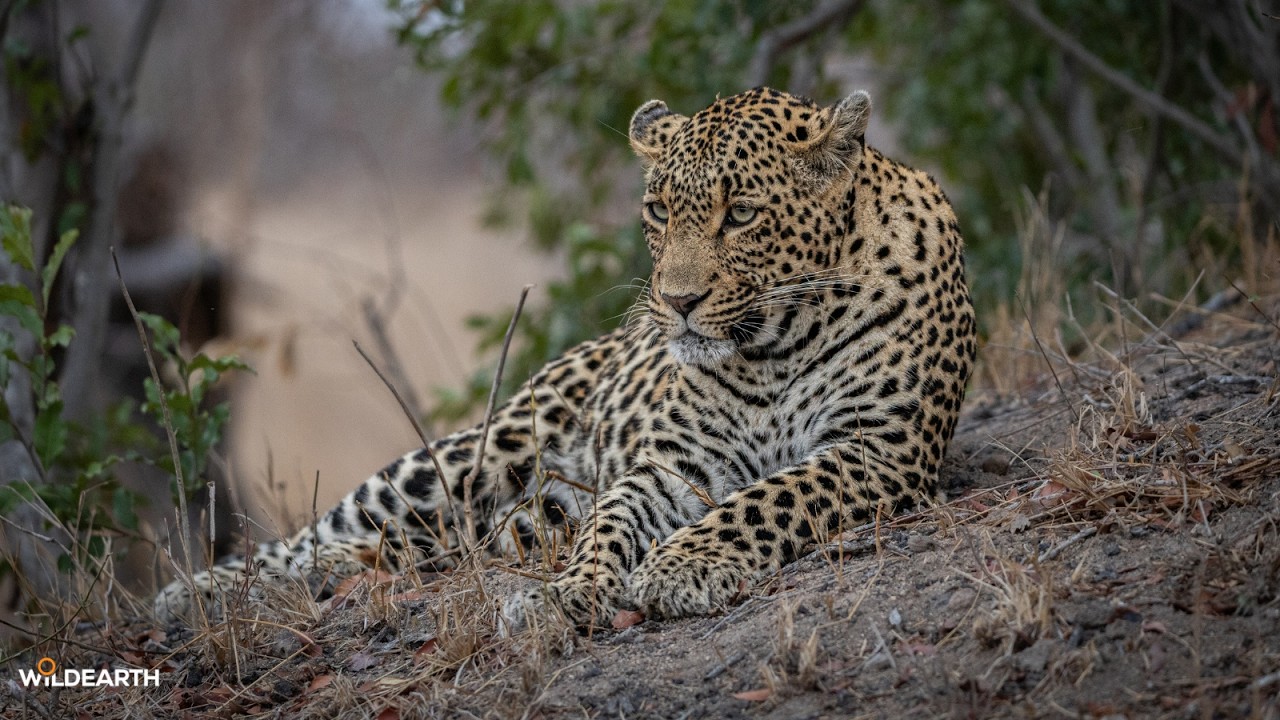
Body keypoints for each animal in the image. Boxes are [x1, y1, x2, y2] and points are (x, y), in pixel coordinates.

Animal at [154, 87, 976, 630]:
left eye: (740, 213)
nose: (676, 302)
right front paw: (572, 590)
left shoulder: (878, 449)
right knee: (321, 533)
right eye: (658, 211)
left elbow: (770, 495)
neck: (775, 343)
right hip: (466, 456)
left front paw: (681, 566)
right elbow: (614, 518)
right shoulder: (676, 465)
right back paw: (200, 594)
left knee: (412, 548)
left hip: (509, 518)